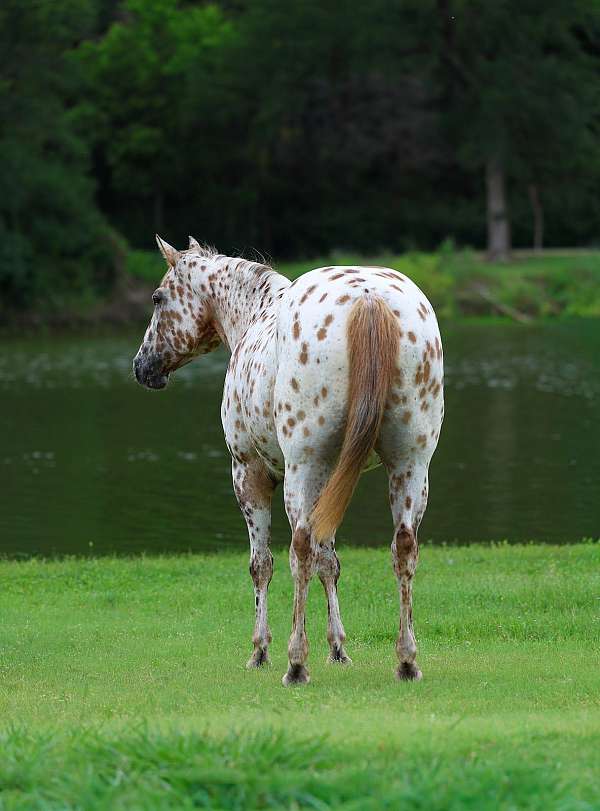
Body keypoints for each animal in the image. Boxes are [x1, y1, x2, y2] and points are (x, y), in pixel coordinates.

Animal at [133, 235, 444, 686]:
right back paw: (406, 660)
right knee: (403, 548)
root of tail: (368, 298)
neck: (256, 314)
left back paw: (296, 663)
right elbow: (330, 562)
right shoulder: (335, 476)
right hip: (410, 466)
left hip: (303, 468)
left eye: (158, 298)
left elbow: (262, 564)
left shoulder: (249, 472)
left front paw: (260, 650)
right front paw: (338, 648)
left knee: (300, 549)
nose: (142, 366)